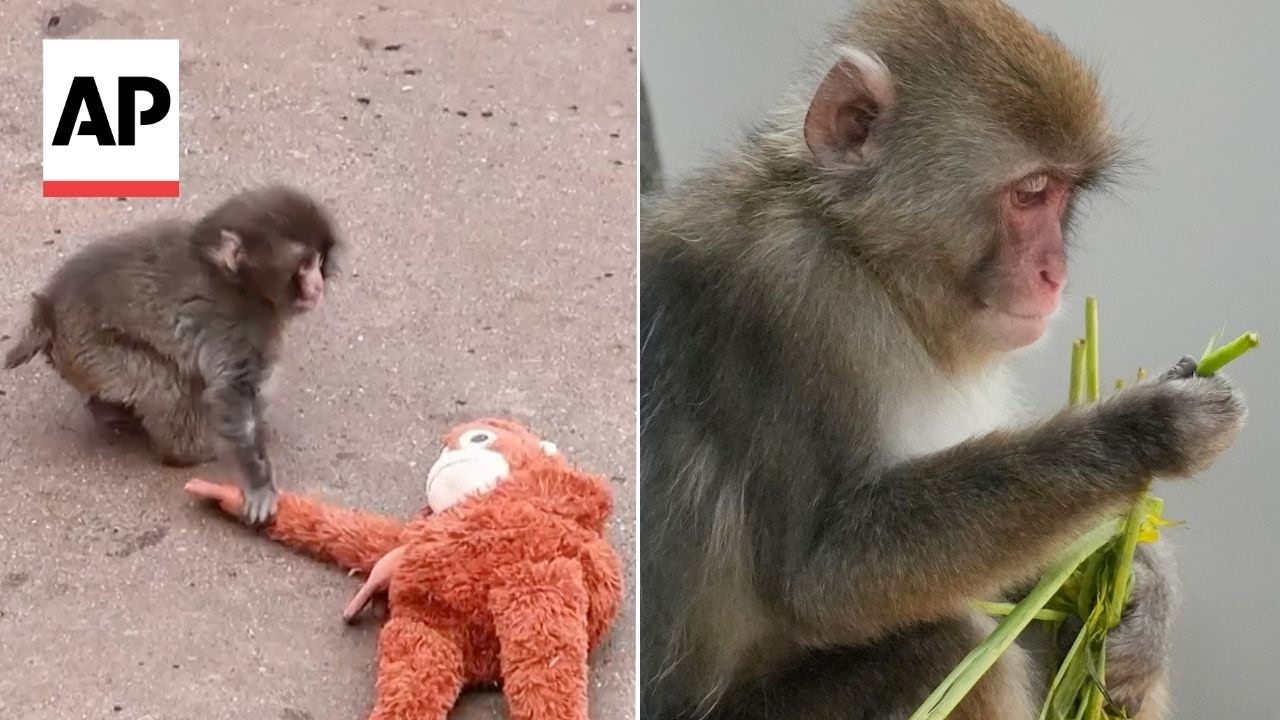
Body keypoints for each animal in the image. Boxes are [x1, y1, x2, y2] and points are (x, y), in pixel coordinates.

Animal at [4, 185, 341, 525]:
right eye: (303, 267)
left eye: (318, 261)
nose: (317, 285)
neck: (240, 283)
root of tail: (48, 310)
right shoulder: (237, 326)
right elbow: (232, 394)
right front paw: (257, 483)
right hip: (92, 348)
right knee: (166, 386)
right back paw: (185, 451)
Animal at [638, 2, 1245, 719]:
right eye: (1029, 192)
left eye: (1062, 196)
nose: (1055, 274)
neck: (866, 261)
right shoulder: (789, 301)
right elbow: (822, 574)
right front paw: (1145, 429)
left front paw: (1142, 590)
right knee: (947, 645)